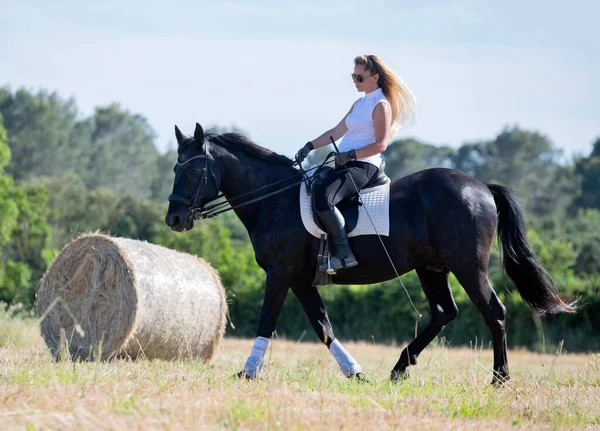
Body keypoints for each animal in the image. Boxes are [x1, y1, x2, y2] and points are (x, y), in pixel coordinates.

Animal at [165, 124, 576, 384]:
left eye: (192, 172)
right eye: (174, 168)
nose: (174, 219)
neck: (274, 199)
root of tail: (482, 188)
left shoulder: (280, 274)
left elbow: (267, 321)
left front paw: (247, 373)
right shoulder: (300, 280)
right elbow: (323, 327)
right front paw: (355, 373)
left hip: (468, 266)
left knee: (494, 312)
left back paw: (499, 379)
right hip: (432, 267)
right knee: (444, 312)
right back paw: (399, 369)